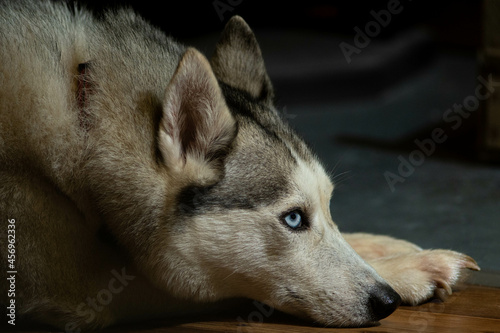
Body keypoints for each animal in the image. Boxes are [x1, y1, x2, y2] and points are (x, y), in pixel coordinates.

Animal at [0, 1, 478, 330]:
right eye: (292, 219)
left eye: (327, 206)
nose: (386, 302)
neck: (87, 127)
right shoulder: (84, 291)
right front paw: (405, 270)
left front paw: (393, 249)